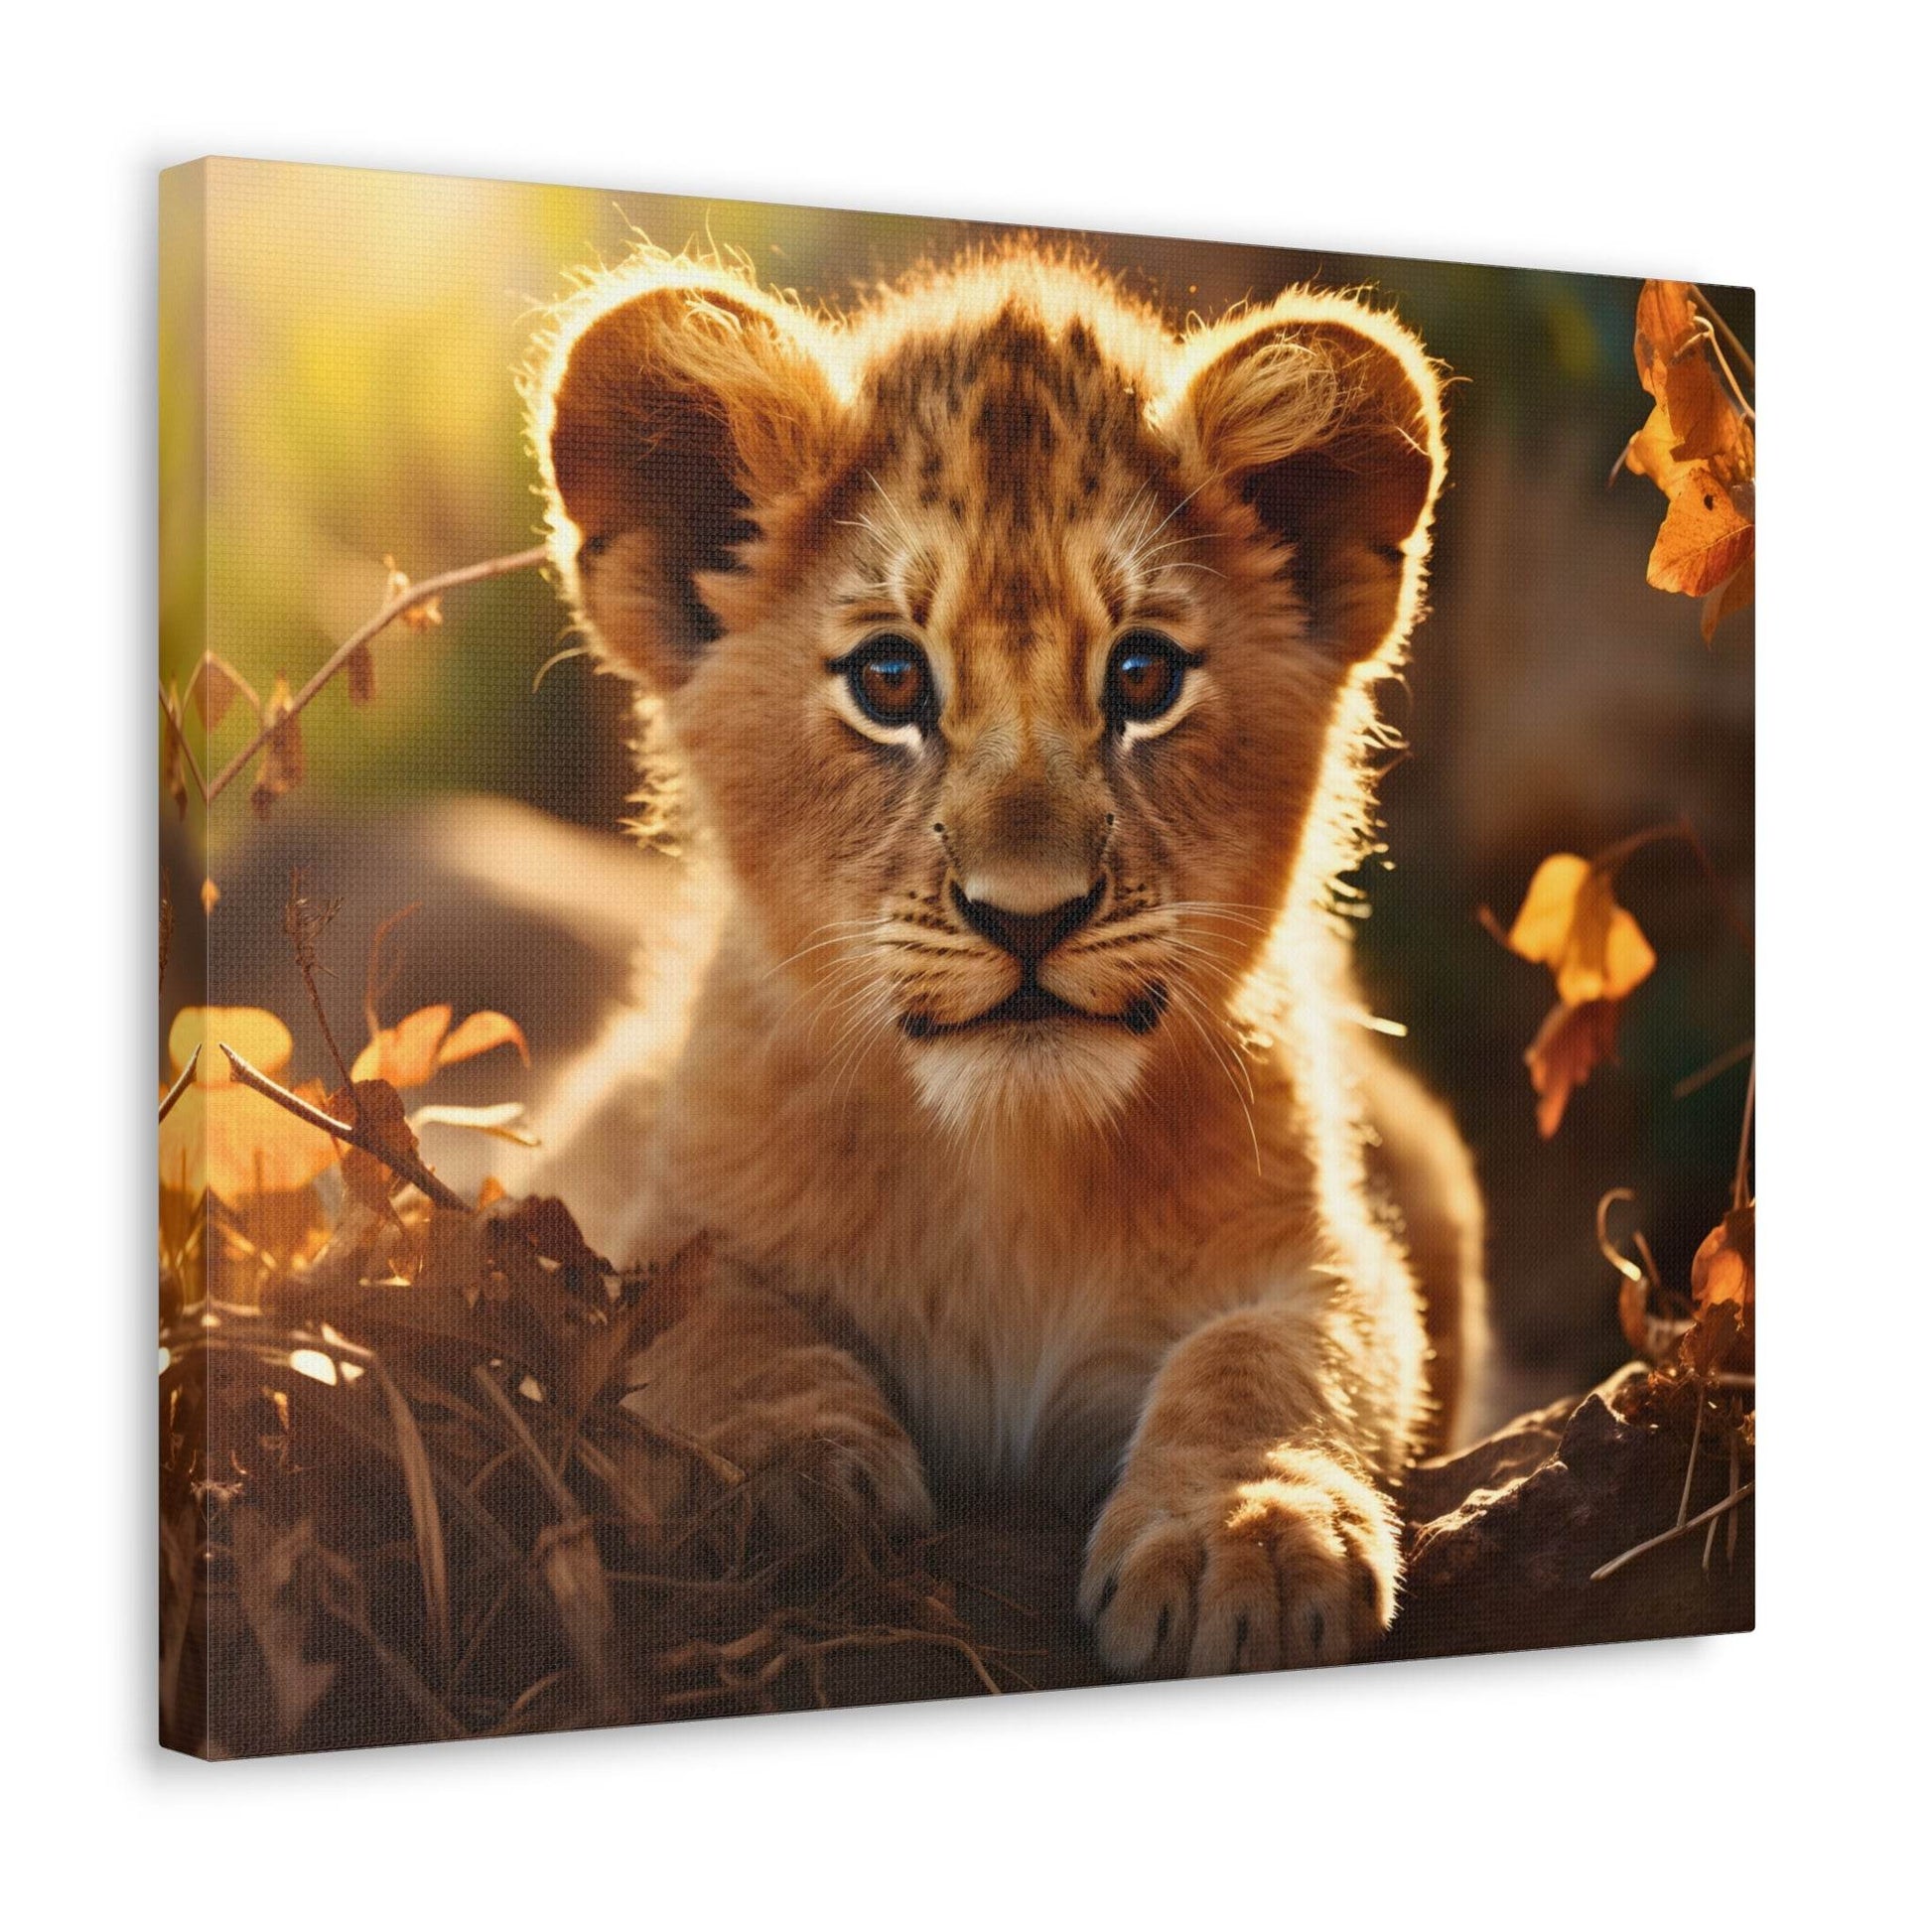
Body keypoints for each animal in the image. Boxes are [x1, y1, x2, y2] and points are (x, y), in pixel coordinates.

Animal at [520, 240, 1487, 1677]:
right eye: (888, 680)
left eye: (1141, 677)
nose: (1028, 915)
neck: (1005, 1169)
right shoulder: (628, 1204)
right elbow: (701, 1315)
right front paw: (780, 1472)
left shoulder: (1322, 1247)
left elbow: (1274, 1355)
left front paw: (1244, 1535)